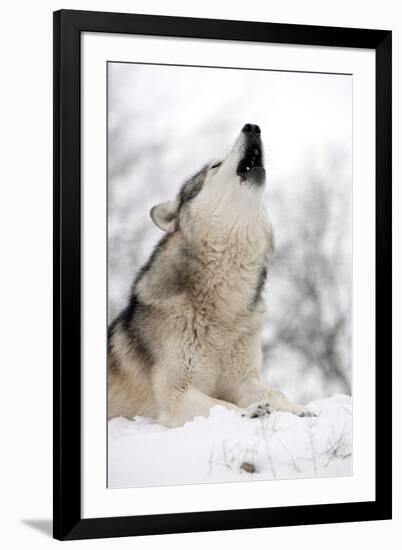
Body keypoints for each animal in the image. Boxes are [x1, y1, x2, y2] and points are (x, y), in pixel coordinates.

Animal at [107, 123, 314, 430]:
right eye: (215, 166)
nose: (252, 127)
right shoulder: (177, 395)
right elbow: (222, 405)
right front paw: (252, 411)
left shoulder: (243, 380)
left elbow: (275, 392)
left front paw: (299, 410)